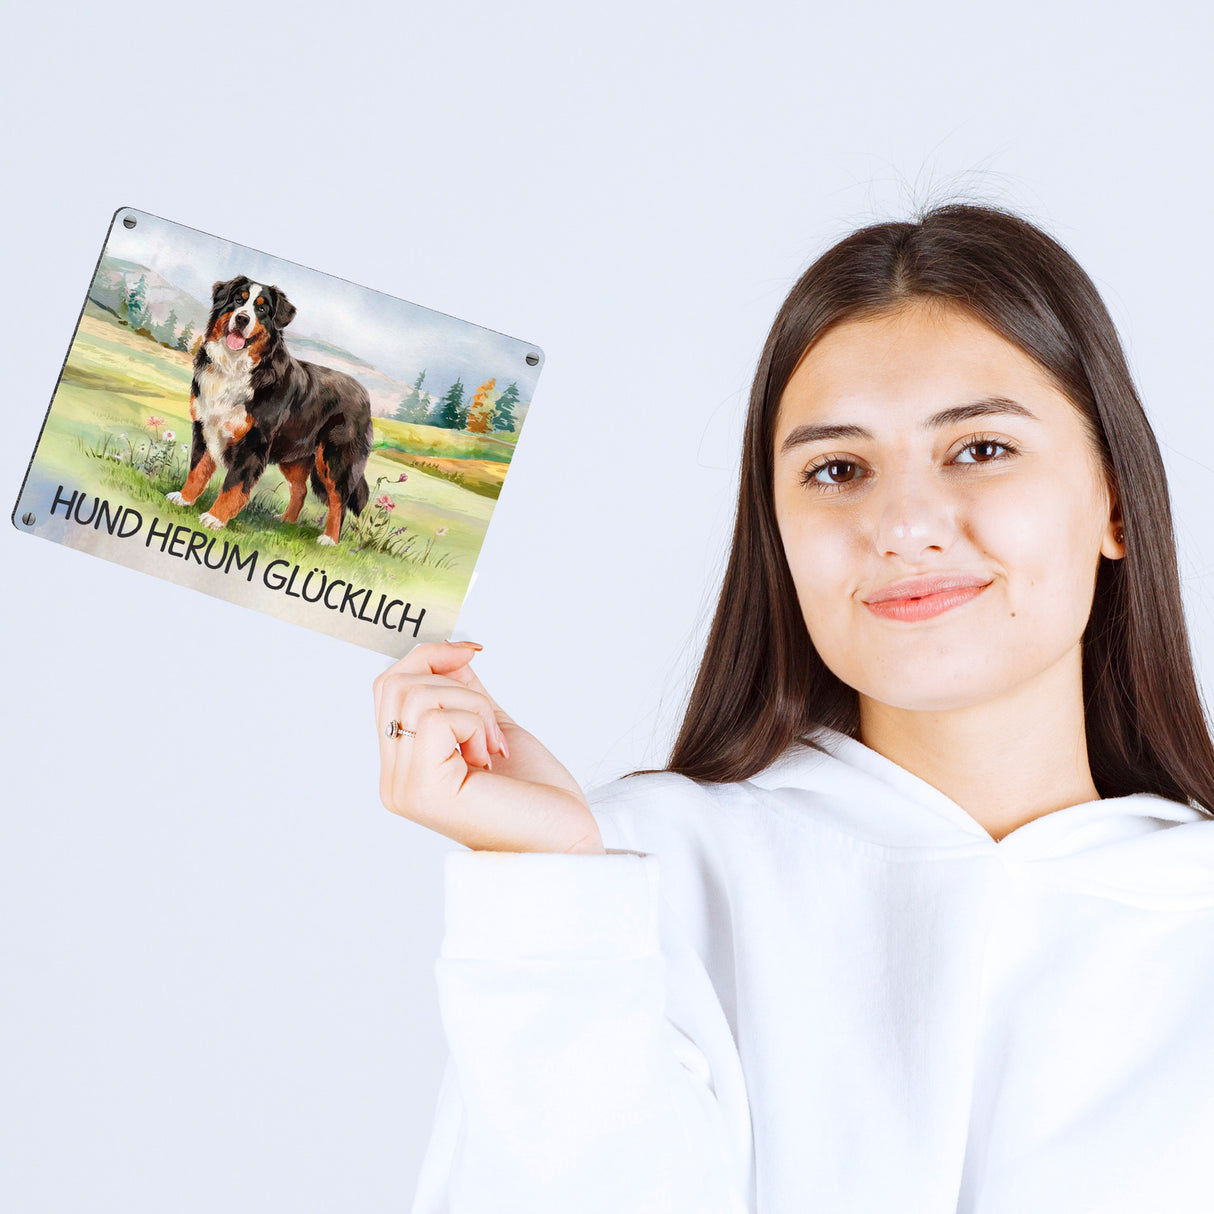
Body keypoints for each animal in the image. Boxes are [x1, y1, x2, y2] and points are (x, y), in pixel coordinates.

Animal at [167, 275, 369, 546]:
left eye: (261, 309)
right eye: (237, 300)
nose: (242, 318)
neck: (234, 367)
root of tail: (363, 393)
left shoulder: (253, 441)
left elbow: (233, 484)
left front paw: (214, 518)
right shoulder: (204, 425)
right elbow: (197, 470)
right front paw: (184, 498)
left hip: (334, 458)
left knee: (339, 499)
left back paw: (329, 539)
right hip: (296, 456)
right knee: (300, 490)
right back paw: (286, 521)